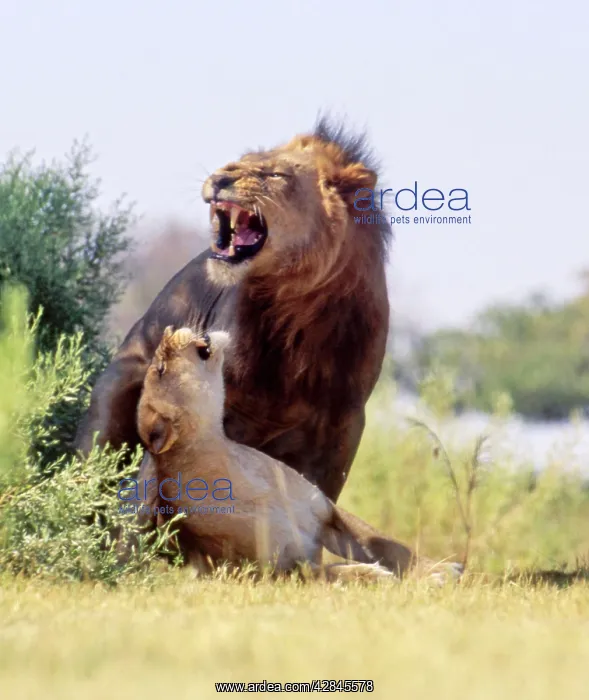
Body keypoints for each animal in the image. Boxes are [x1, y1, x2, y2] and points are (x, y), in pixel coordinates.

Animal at [76, 117, 390, 507]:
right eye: (242, 161)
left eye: (275, 174)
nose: (220, 177)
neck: (299, 316)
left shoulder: (337, 439)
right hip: (107, 417)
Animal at [135, 327, 462, 583]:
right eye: (161, 369)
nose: (168, 330)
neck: (236, 467)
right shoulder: (268, 568)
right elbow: (328, 572)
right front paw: (374, 576)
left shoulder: (327, 511)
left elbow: (389, 545)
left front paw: (439, 570)